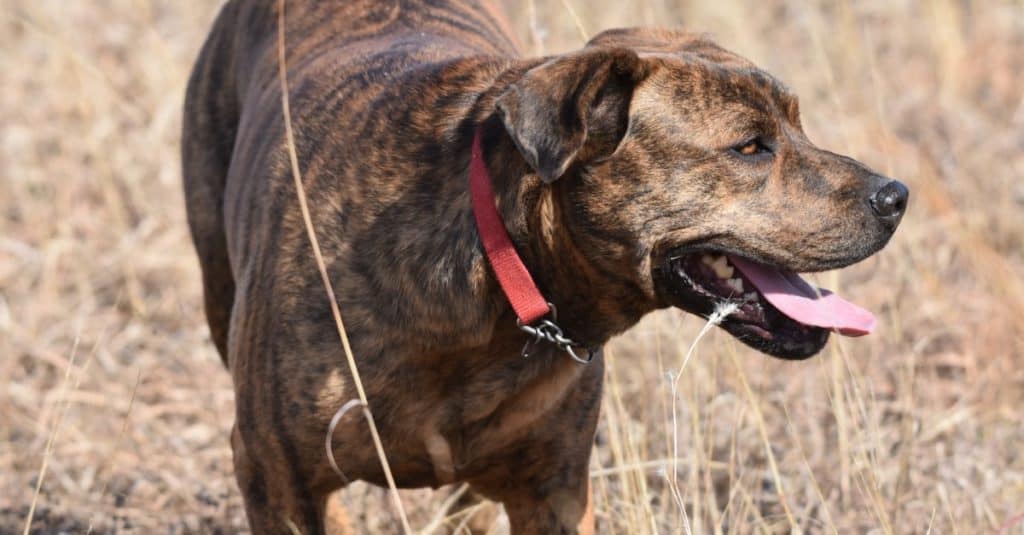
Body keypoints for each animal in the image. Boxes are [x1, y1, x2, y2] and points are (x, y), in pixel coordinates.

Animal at [182, 2, 905, 528]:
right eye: (750, 147)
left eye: (799, 125)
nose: (896, 196)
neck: (496, 265)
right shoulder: (281, 480)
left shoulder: (553, 491)